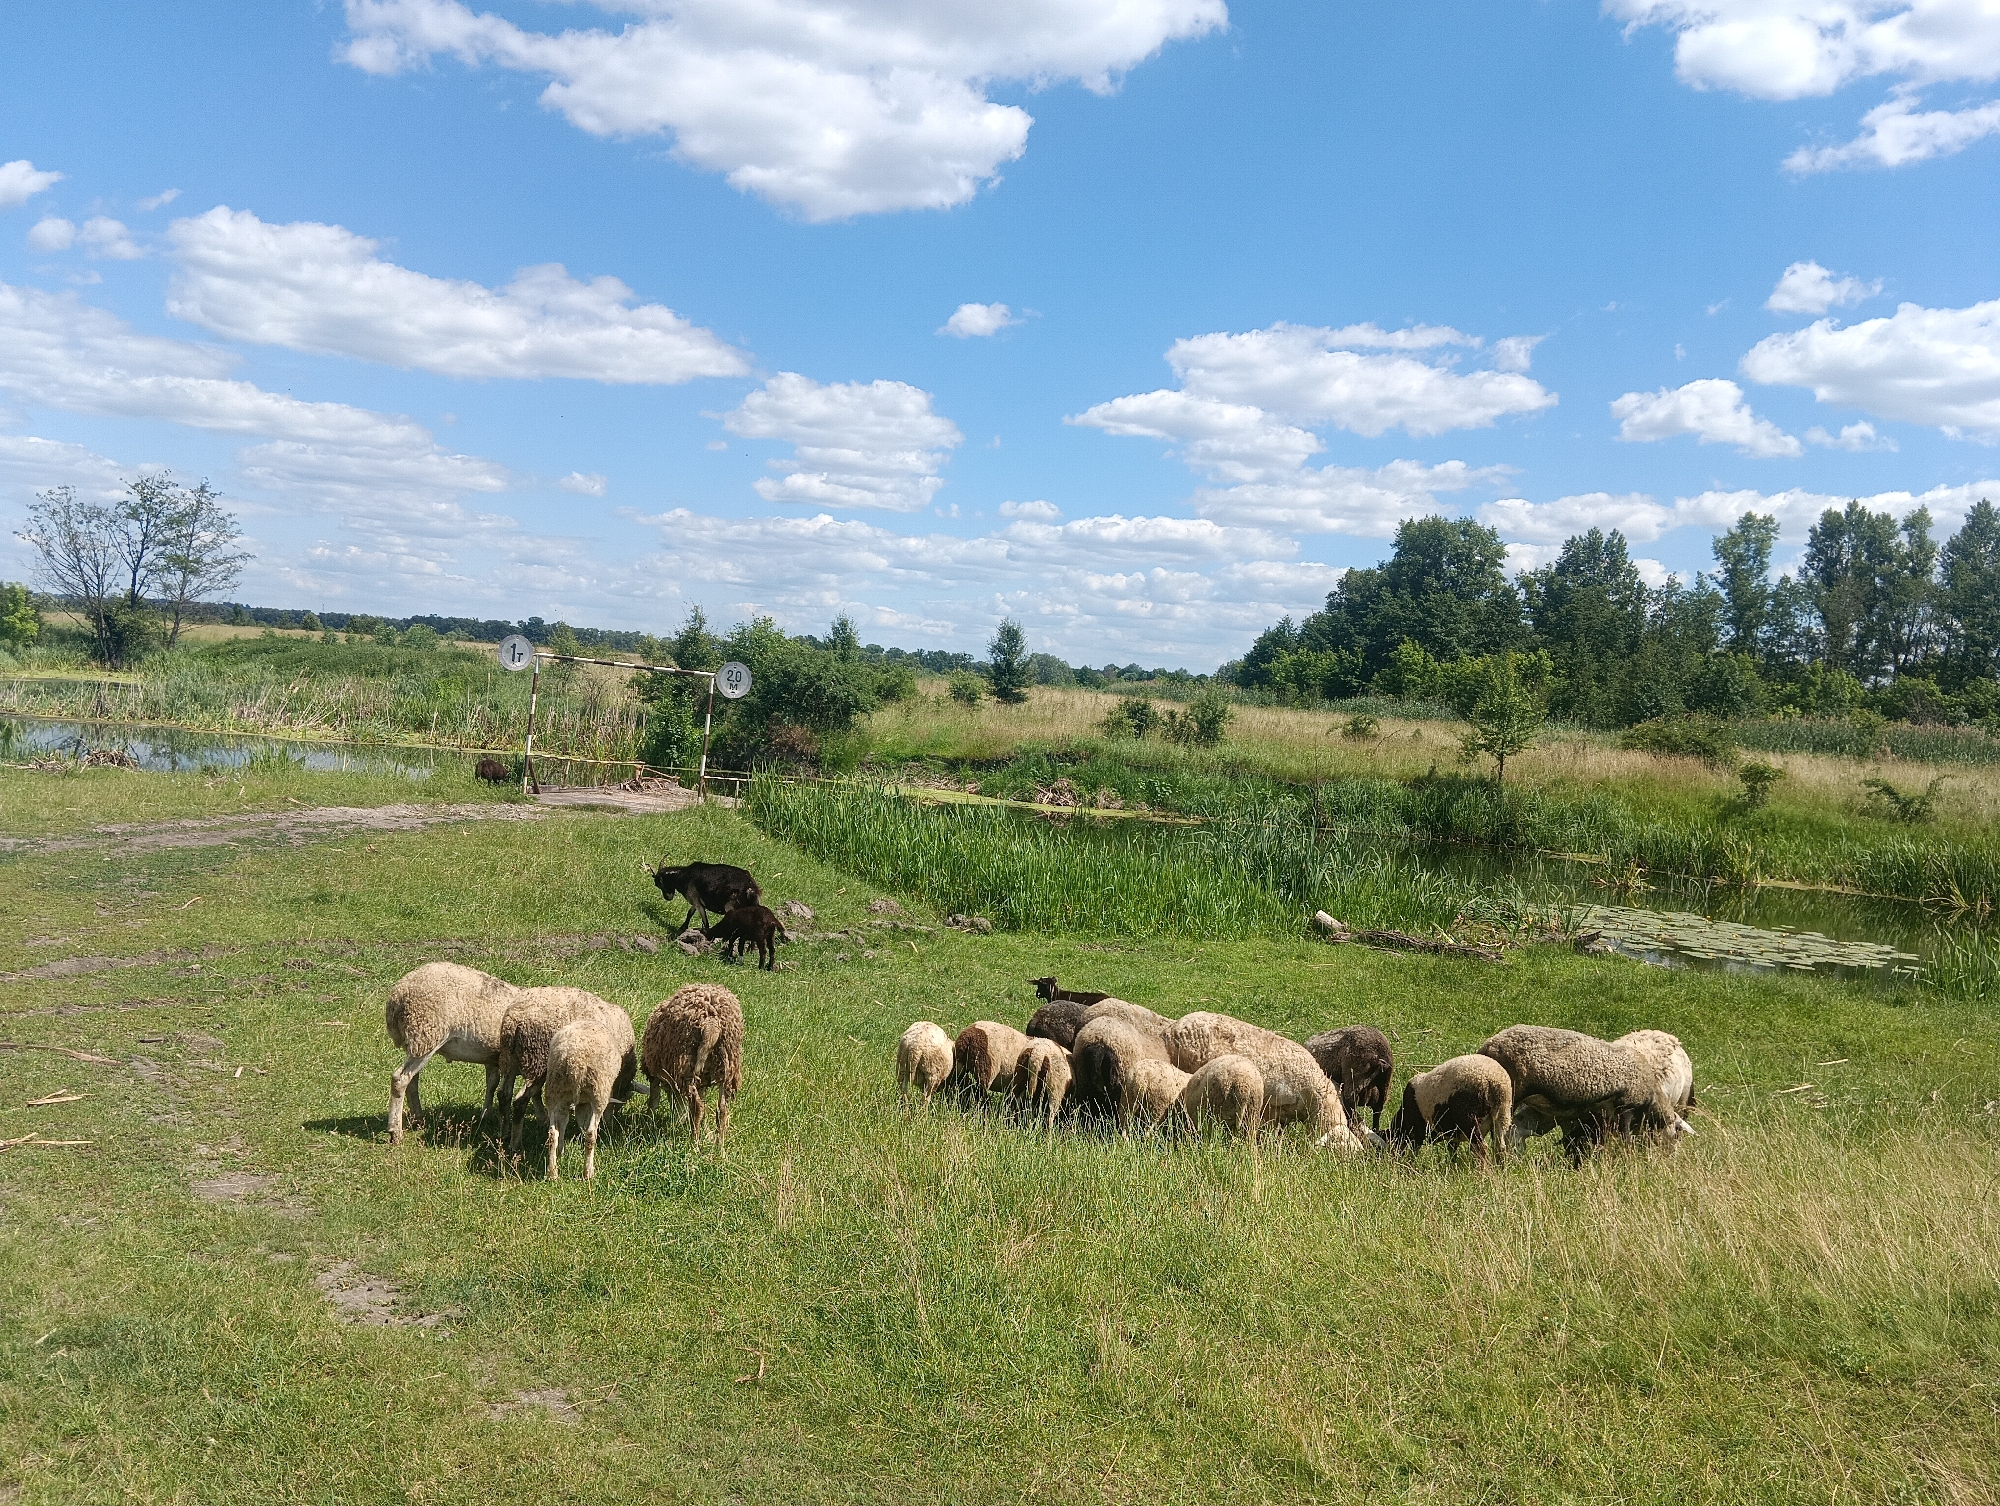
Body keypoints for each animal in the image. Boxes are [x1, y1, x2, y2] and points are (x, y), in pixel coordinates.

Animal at [383, 962, 525, 1145]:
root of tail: (398, 995)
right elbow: (504, 1093)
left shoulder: (493, 1058)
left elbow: (492, 1083)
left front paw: (485, 1115)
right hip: (427, 1032)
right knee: (400, 1079)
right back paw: (395, 1132)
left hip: (417, 1041)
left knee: (412, 1080)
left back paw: (418, 1119)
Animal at [497, 988, 636, 1151]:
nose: (610, 1126)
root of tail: (514, 1020)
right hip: (537, 1060)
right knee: (519, 1101)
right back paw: (515, 1144)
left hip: (510, 1059)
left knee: (504, 1094)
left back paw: (505, 1134)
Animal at [543, 1016, 628, 1180]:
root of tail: (574, 1060)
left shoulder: (567, 1102)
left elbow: (564, 1124)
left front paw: (561, 1152)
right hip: (598, 1092)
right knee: (590, 1134)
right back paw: (588, 1172)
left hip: (554, 1091)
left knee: (552, 1134)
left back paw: (552, 1174)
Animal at [642, 983, 744, 1148]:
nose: (677, 1122)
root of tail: (711, 1023)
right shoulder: (702, 1082)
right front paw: (707, 1133)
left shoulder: (654, 1074)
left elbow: (653, 1100)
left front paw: (648, 1123)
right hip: (728, 1065)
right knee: (722, 1108)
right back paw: (719, 1147)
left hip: (686, 1067)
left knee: (697, 1108)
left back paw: (694, 1145)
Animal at [1477, 1025, 1680, 1156]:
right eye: (1676, 1135)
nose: (1671, 1158)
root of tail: (1488, 1046)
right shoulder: (1626, 1107)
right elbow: (1625, 1138)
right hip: (1510, 1093)